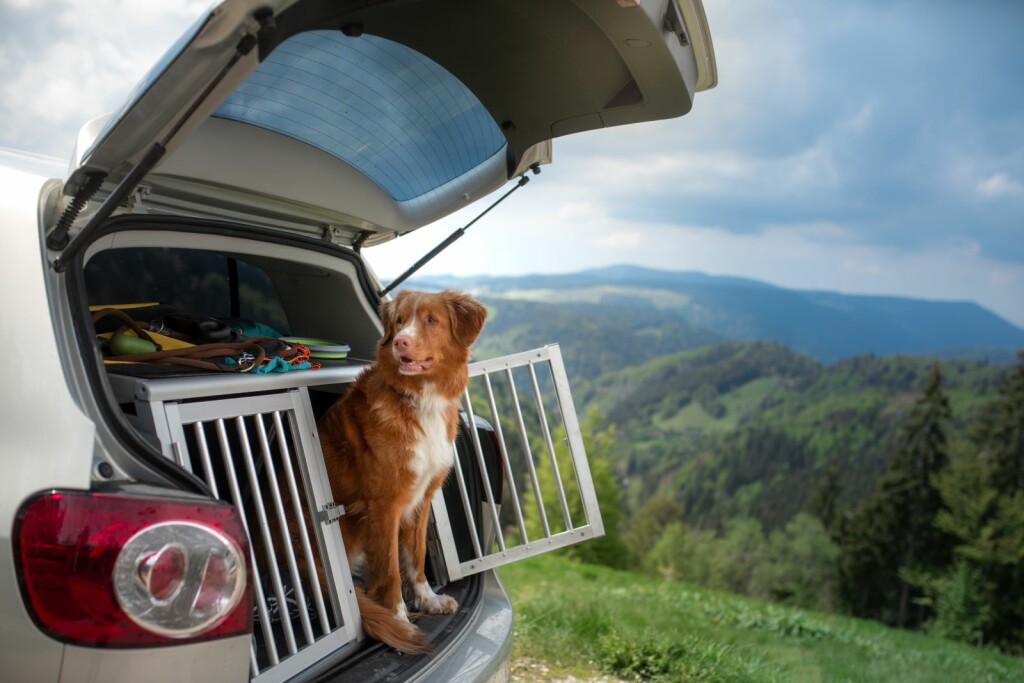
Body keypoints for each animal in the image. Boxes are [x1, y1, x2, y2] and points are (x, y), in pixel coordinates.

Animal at [317, 290, 489, 655]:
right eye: (399, 321)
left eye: (431, 320)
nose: (400, 342)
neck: (420, 397)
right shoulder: (384, 505)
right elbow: (391, 570)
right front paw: (398, 618)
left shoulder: (422, 498)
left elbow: (416, 556)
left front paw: (427, 599)